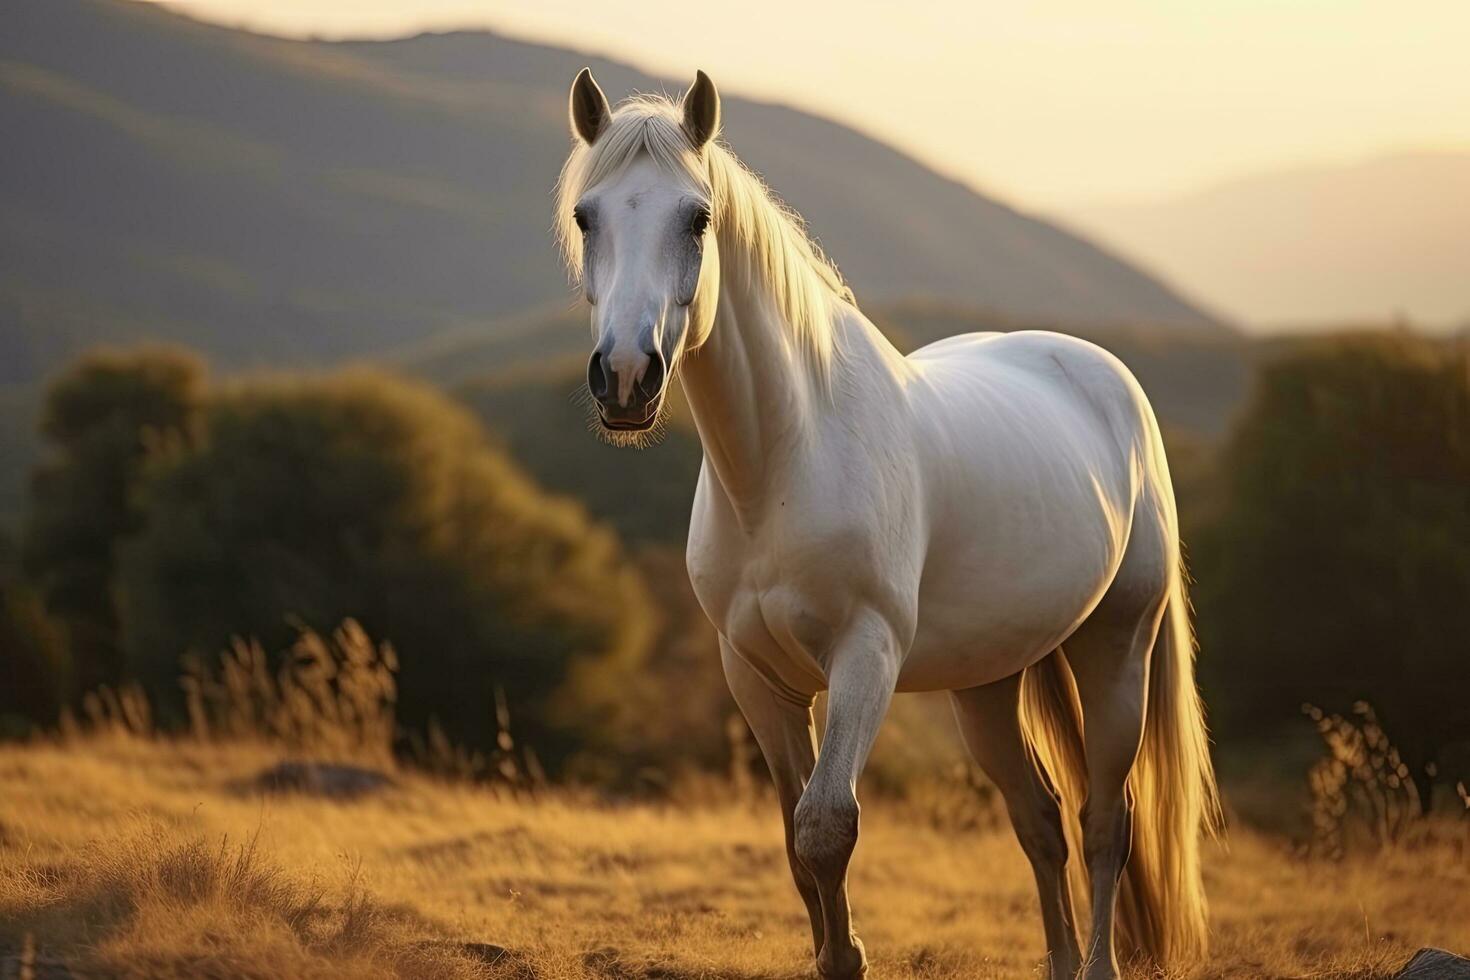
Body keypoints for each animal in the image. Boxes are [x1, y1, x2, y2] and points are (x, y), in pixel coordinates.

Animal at [552, 70, 1217, 980]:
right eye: (588, 216)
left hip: (1117, 649)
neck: (788, 459)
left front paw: (850, 954)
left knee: (1105, 822)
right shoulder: (754, 676)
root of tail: (1101, 374)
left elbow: (826, 827)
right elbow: (793, 841)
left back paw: (1096, 965)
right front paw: (838, 955)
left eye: (697, 218)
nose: (625, 377)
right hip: (987, 682)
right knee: (1041, 818)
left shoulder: (865, 655)